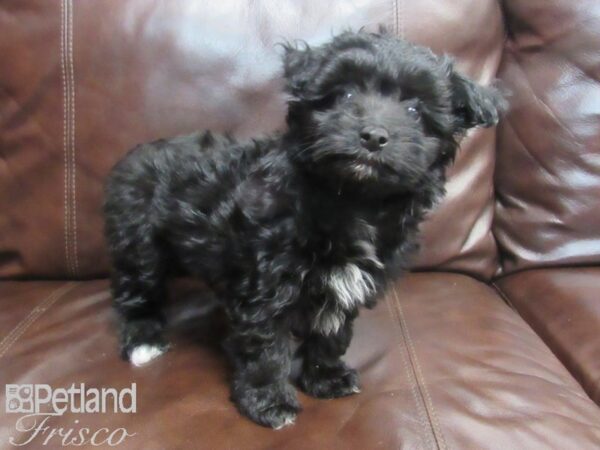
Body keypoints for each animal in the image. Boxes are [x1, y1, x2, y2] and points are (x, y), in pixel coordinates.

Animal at [104, 29, 506, 428]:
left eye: (415, 110)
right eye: (344, 94)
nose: (373, 135)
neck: (352, 198)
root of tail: (134, 155)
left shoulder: (344, 288)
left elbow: (331, 332)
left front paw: (325, 379)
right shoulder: (266, 285)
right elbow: (266, 346)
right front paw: (269, 402)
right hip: (139, 244)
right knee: (137, 293)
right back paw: (143, 340)